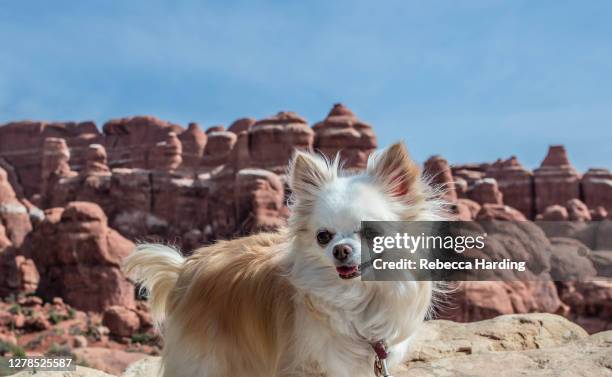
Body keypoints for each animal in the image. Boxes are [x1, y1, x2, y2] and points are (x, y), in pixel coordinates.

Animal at [124, 142, 448, 376]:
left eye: (371, 232)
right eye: (323, 236)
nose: (340, 250)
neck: (357, 298)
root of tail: (185, 267)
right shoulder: (303, 365)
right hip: (205, 361)